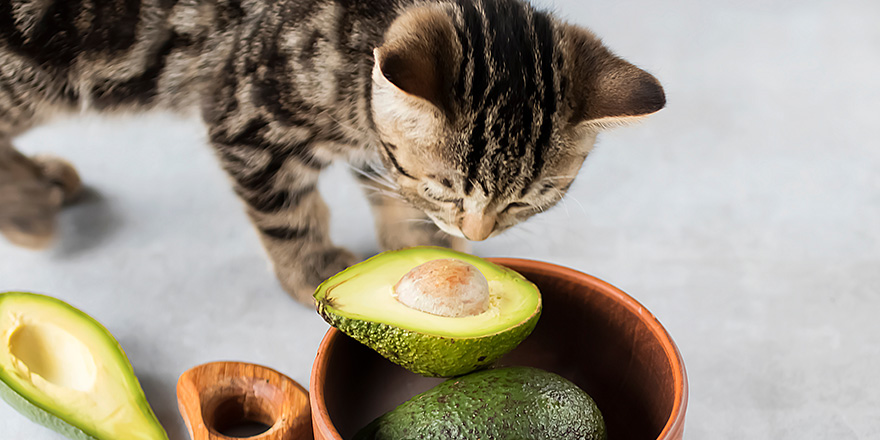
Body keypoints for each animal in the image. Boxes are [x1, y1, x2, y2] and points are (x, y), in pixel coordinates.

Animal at [0, 0, 664, 302]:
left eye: (528, 201)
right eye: (448, 187)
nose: (476, 234)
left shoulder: (378, 151)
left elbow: (391, 193)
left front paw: (421, 250)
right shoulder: (243, 114)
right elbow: (287, 213)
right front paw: (312, 269)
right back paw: (27, 205)